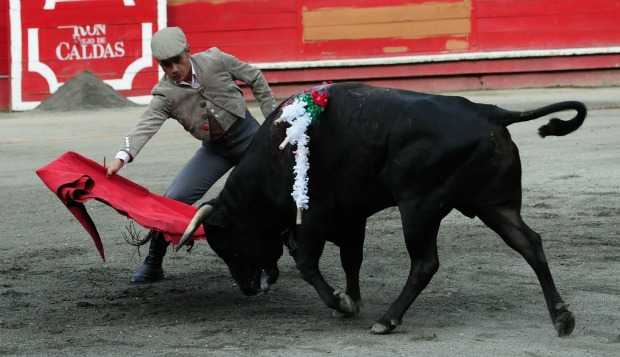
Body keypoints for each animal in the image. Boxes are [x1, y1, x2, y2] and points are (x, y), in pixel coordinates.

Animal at [176, 82, 588, 336]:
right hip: (494, 204)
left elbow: (307, 262)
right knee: (530, 244)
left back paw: (388, 320)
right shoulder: (351, 216)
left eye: (228, 246)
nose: (248, 289)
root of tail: (489, 112)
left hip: (419, 207)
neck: (278, 156)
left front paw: (341, 303)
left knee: (425, 263)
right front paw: (352, 299)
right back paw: (561, 317)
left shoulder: (313, 218)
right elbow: (351, 259)